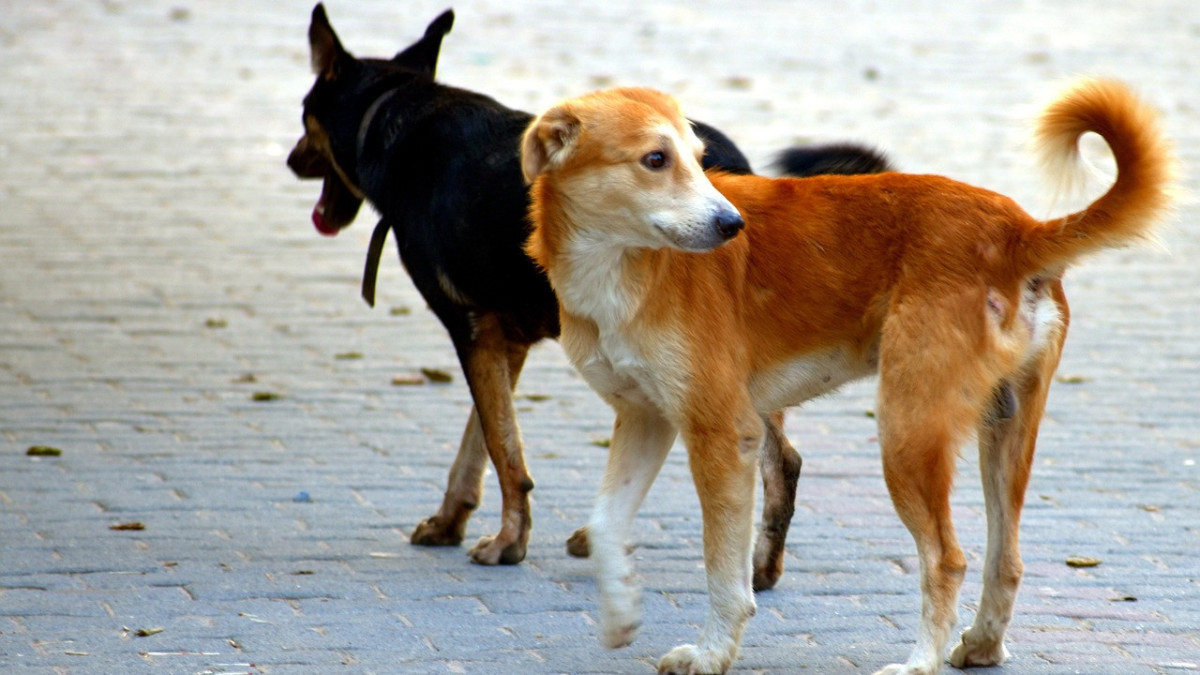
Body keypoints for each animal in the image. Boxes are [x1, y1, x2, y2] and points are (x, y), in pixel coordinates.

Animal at [288, 3, 892, 578]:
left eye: (303, 115)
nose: (292, 160)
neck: (395, 114)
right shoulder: (506, 341)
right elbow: (478, 442)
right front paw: (451, 518)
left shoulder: (472, 328)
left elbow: (504, 449)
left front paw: (509, 542)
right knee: (777, 458)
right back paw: (755, 565)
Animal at [523, 79, 1171, 672]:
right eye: (655, 159)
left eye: (700, 159)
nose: (732, 225)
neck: (622, 267)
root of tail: (1015, 230)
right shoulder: (645, 419)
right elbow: (605, 526)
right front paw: (620, 614)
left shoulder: (722, 435)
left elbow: (724, 575)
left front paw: (711, 653)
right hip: (1005, 430)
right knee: (1005, 560)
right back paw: (982, 646)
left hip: (907, 432)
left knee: (947, 558)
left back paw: (919, 662)